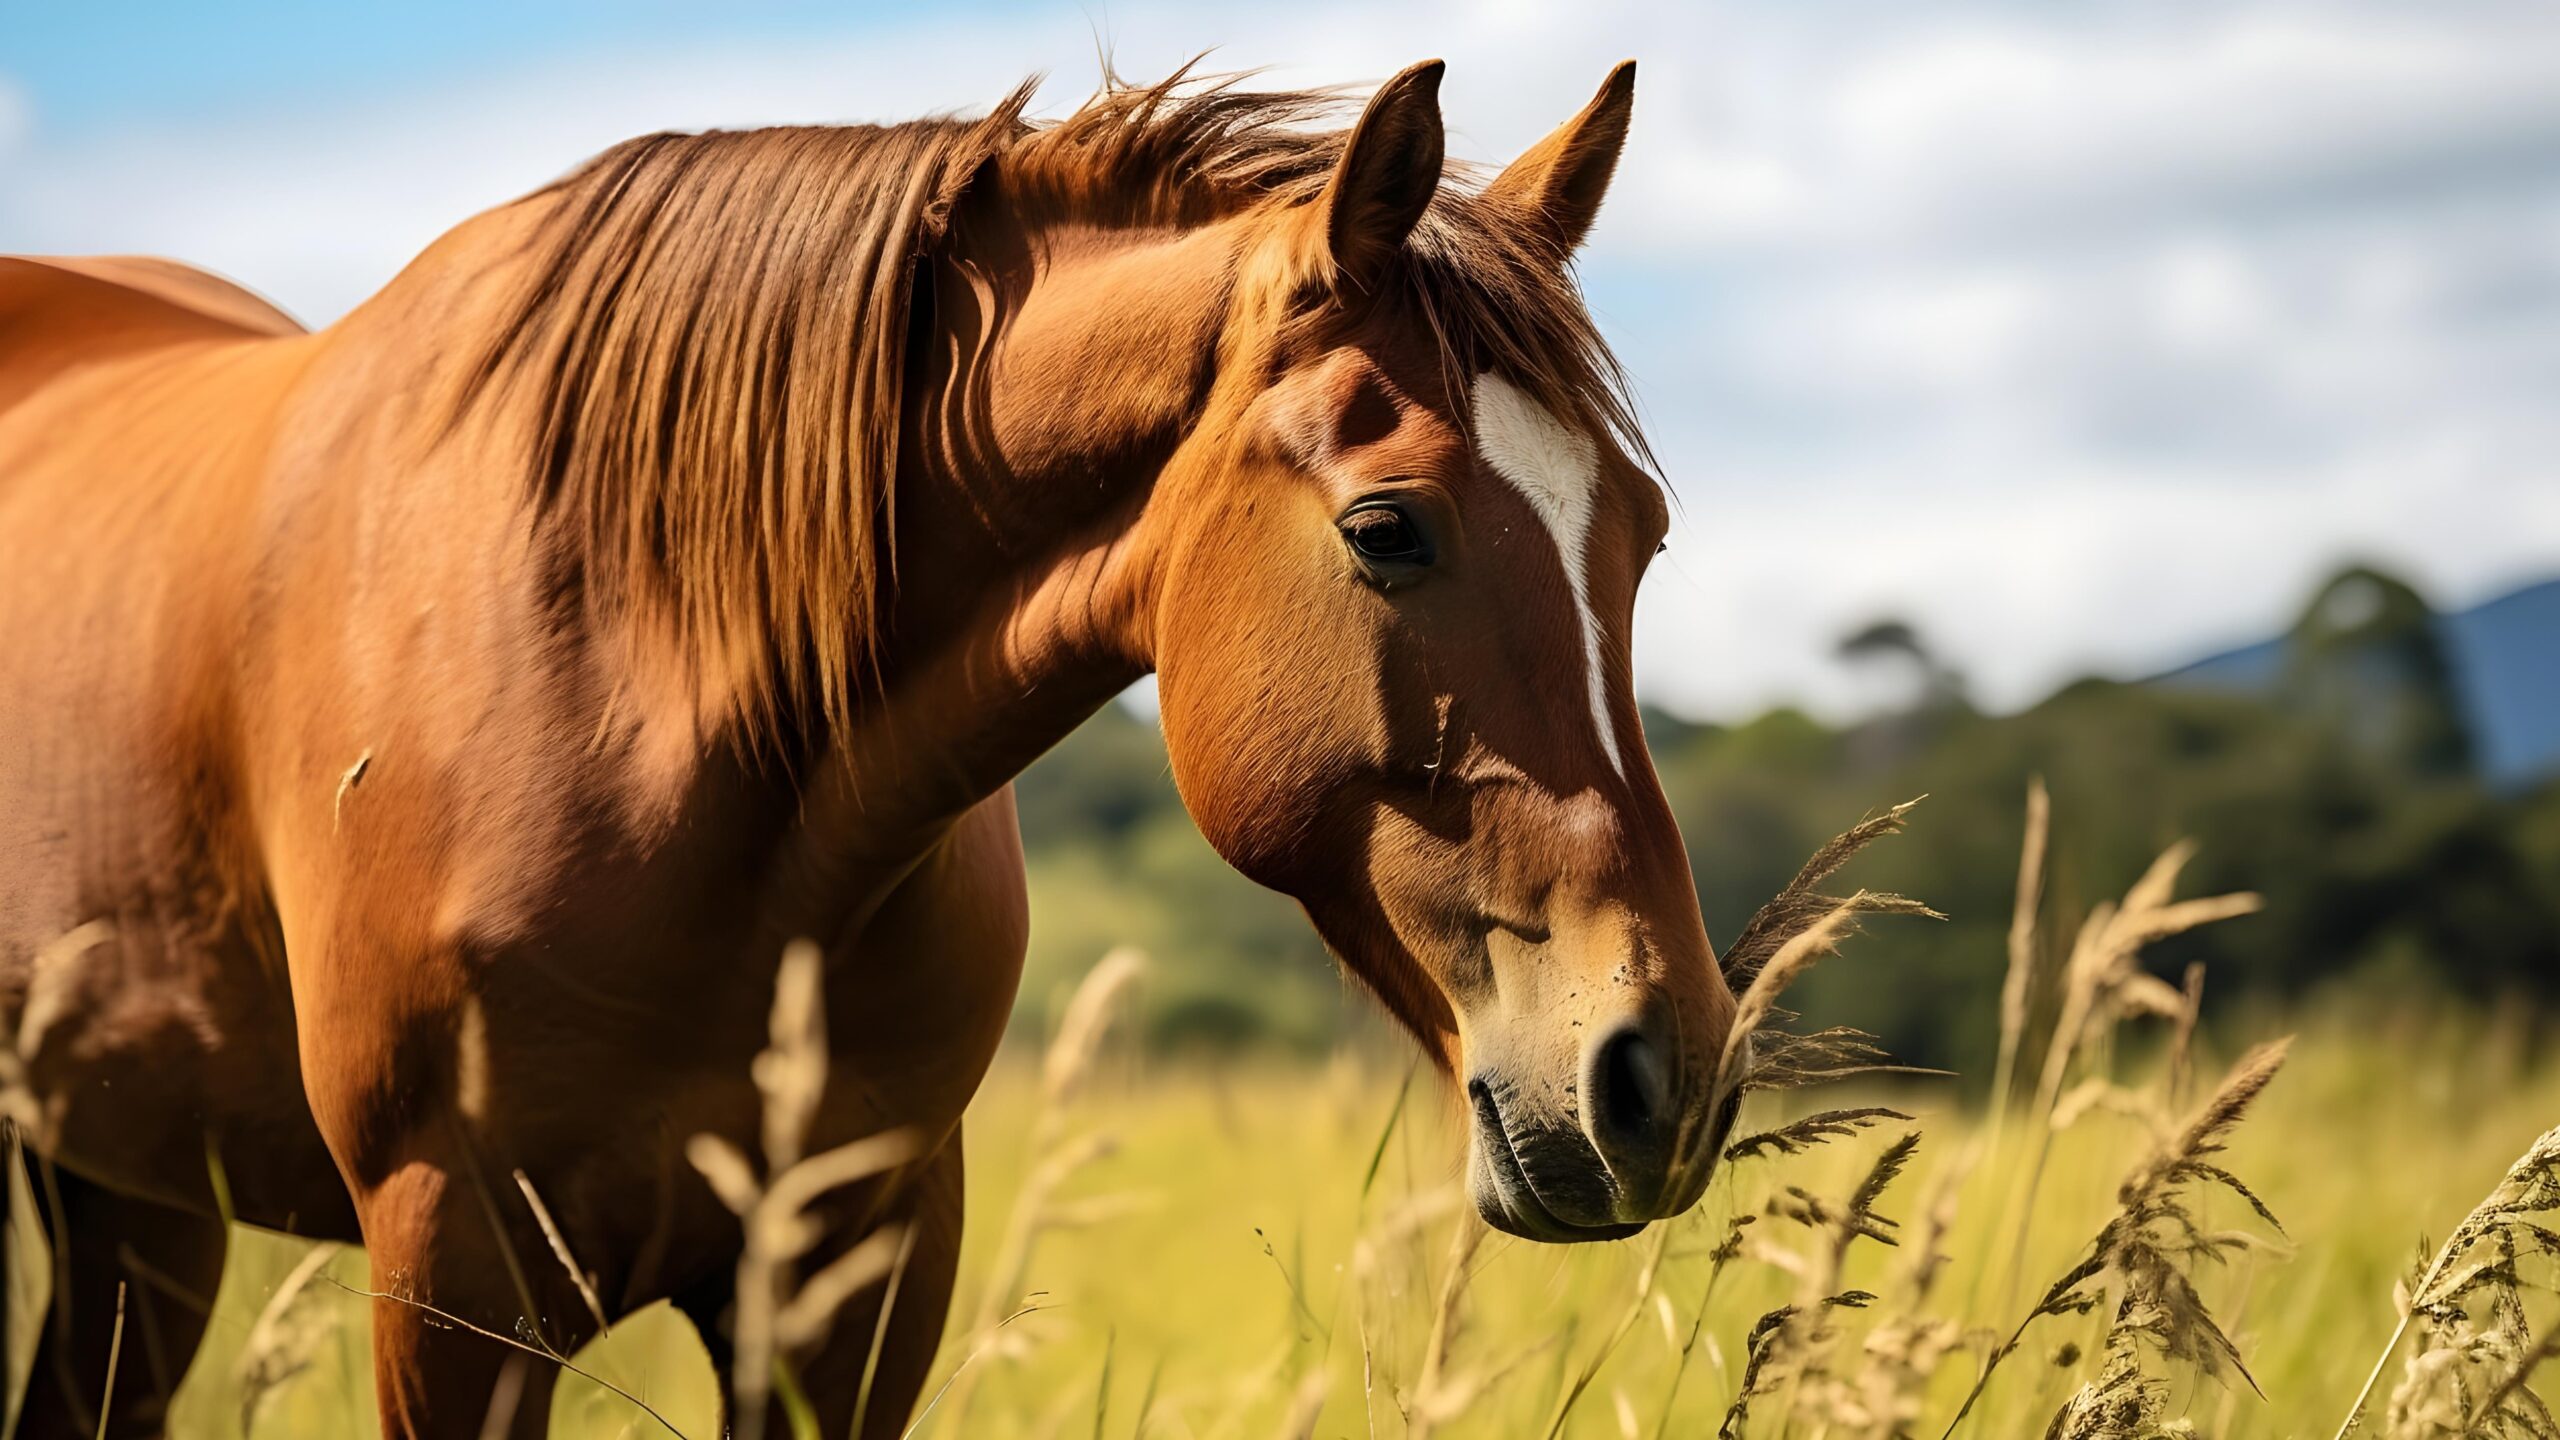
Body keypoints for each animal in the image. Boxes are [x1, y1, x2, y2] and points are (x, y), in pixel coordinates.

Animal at [0, 59, 1741, 1437]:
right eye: (1389, 531)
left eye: (1645, 537)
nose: (1661, 1077)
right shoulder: (455, 1276)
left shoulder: (858, 1269)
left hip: (131, 1203)